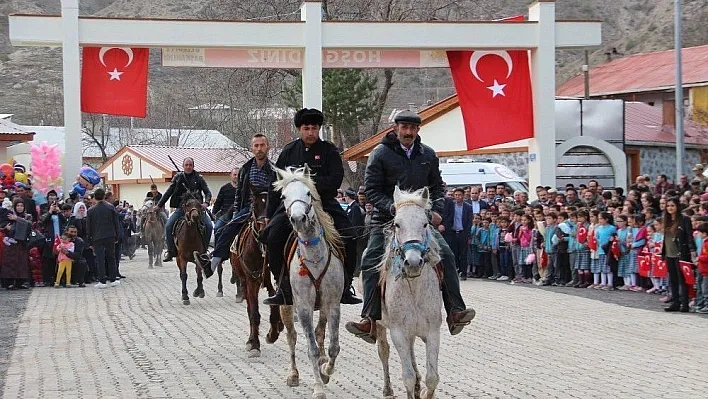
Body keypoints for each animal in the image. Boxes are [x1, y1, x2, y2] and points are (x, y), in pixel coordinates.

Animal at [228, 186, 280, 358]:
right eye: (255, 205)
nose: (265, 229)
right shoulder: (252, 279)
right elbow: (254, 312)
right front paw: (255, 344)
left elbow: (275, 301)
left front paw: (274, 332)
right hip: (246, 281)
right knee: (250, 308)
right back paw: (251, 340)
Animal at [272, 166, 344, 399]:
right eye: (284, 196)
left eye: (308, 193)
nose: (298, 218)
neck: (314, 257)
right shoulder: (303, 306)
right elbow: (310, 347)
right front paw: (318, 388)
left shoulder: (333, 303)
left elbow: (333, 346)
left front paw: (326, 370)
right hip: (286, 305)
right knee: (292, 337)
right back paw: (293, 374)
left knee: (321, 333)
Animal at [378, 188, 440, 399]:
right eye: (397, 224)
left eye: (425, 223)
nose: (412, 262)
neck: (414, 290)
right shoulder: (398, 332)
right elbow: (408, 376)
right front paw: (412, 387)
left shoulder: (433, 331)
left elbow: (432, 377)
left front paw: (424, 389)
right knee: (384, 351)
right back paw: (388, 389)